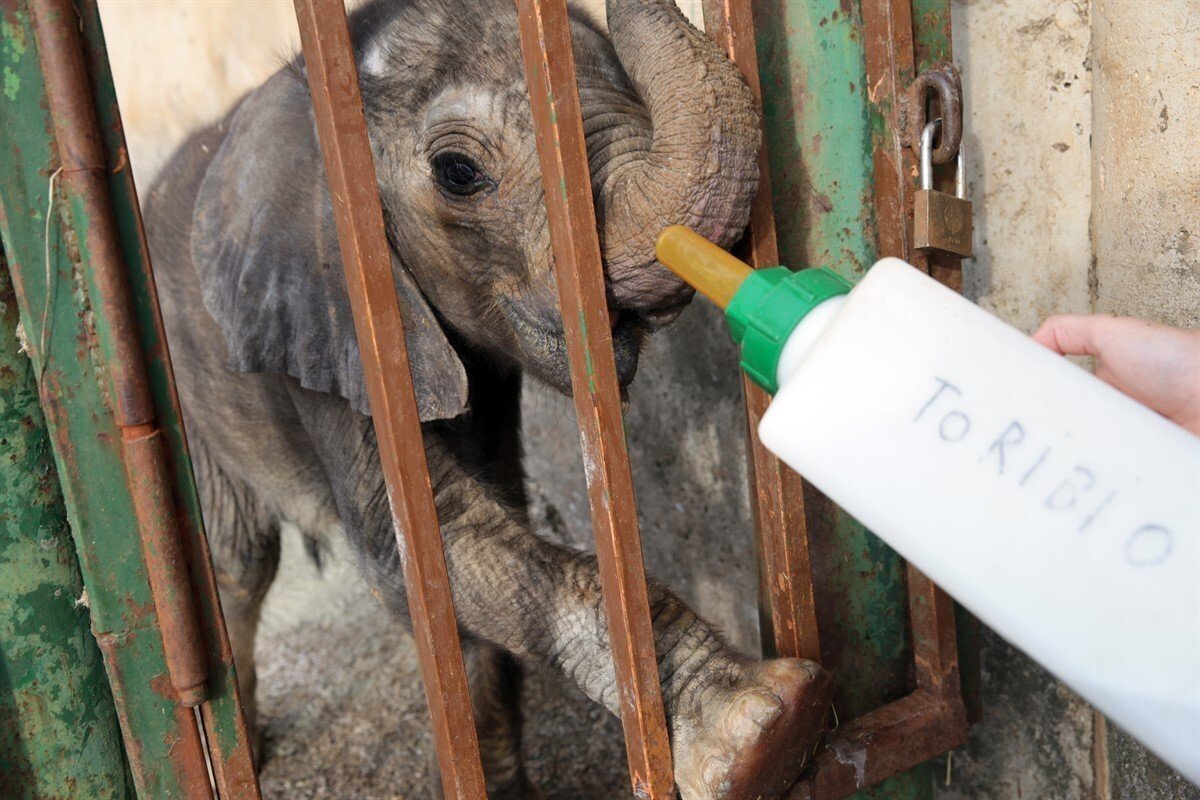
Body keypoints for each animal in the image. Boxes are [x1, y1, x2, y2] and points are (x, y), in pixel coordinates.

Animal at [144, 0, 833, 797]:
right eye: (458, 172)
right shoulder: (328, 324)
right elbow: (427, 545)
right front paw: (761, 737)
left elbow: (488, 517)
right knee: (239, 559)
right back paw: (245, 756)